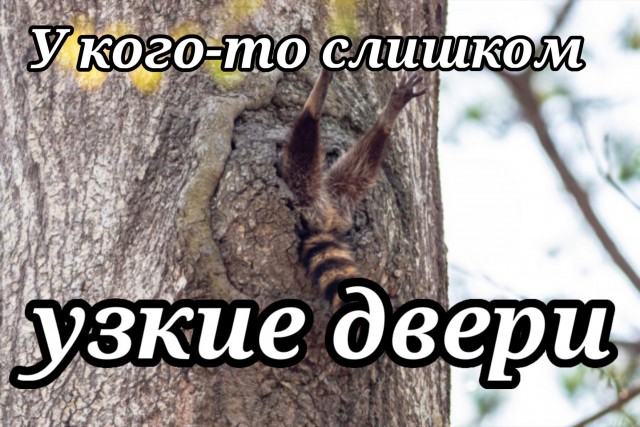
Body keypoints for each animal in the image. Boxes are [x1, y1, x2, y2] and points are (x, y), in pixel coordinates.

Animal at [281, 69, 426, 308]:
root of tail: (323, 222)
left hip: (305, 185)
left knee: (302, 143)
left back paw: (314, 104)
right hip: (339, 192)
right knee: (362, 165)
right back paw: (387, 119)